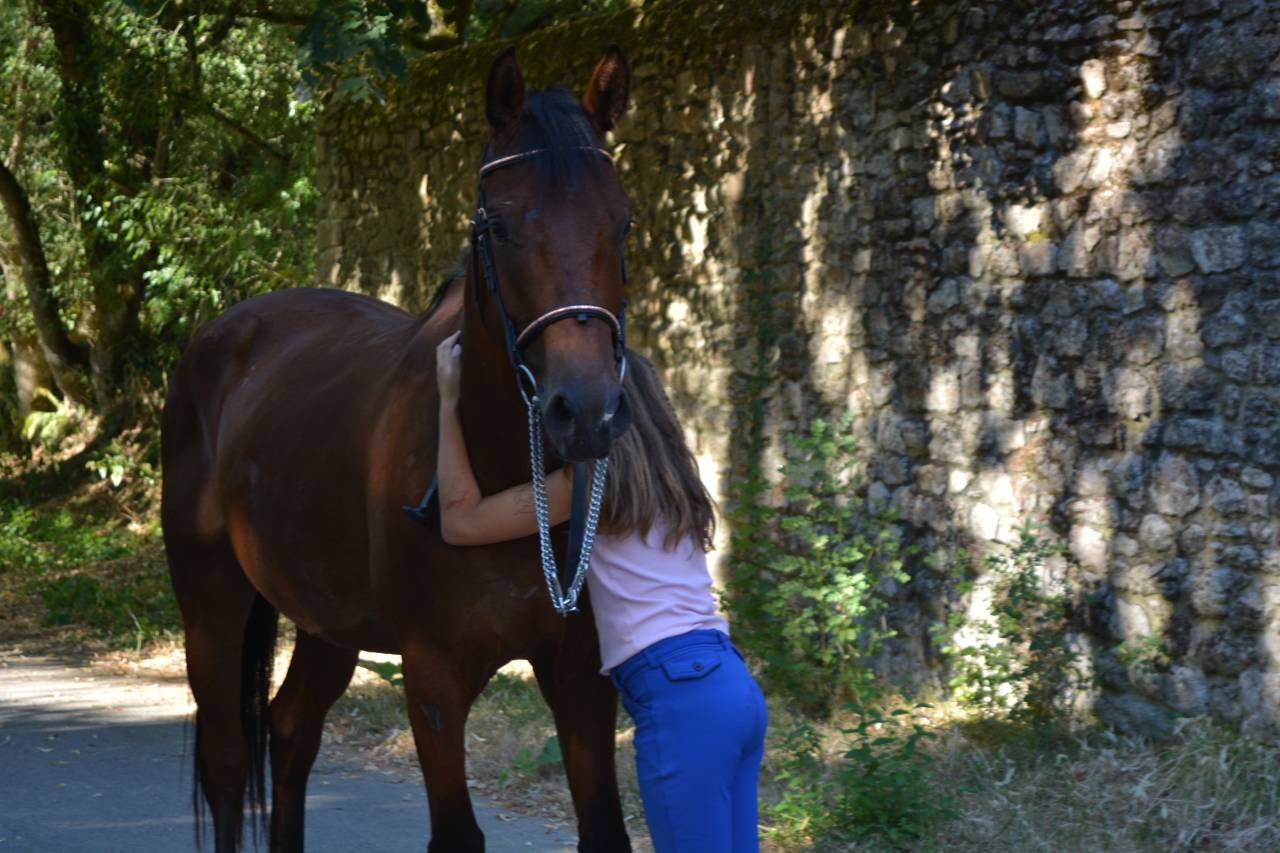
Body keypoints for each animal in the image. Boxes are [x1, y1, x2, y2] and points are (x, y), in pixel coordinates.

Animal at [161, 45, 636, 853]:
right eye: (499, 224)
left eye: (623, 221)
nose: (586, 411)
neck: (502, 477)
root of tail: (222, 334)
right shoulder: (433, 675)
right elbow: (457, 833)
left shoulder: (579, 672)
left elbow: (605, 827)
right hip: (210, 597)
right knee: (227, 759)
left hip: (325, 618)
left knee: (290, 728)